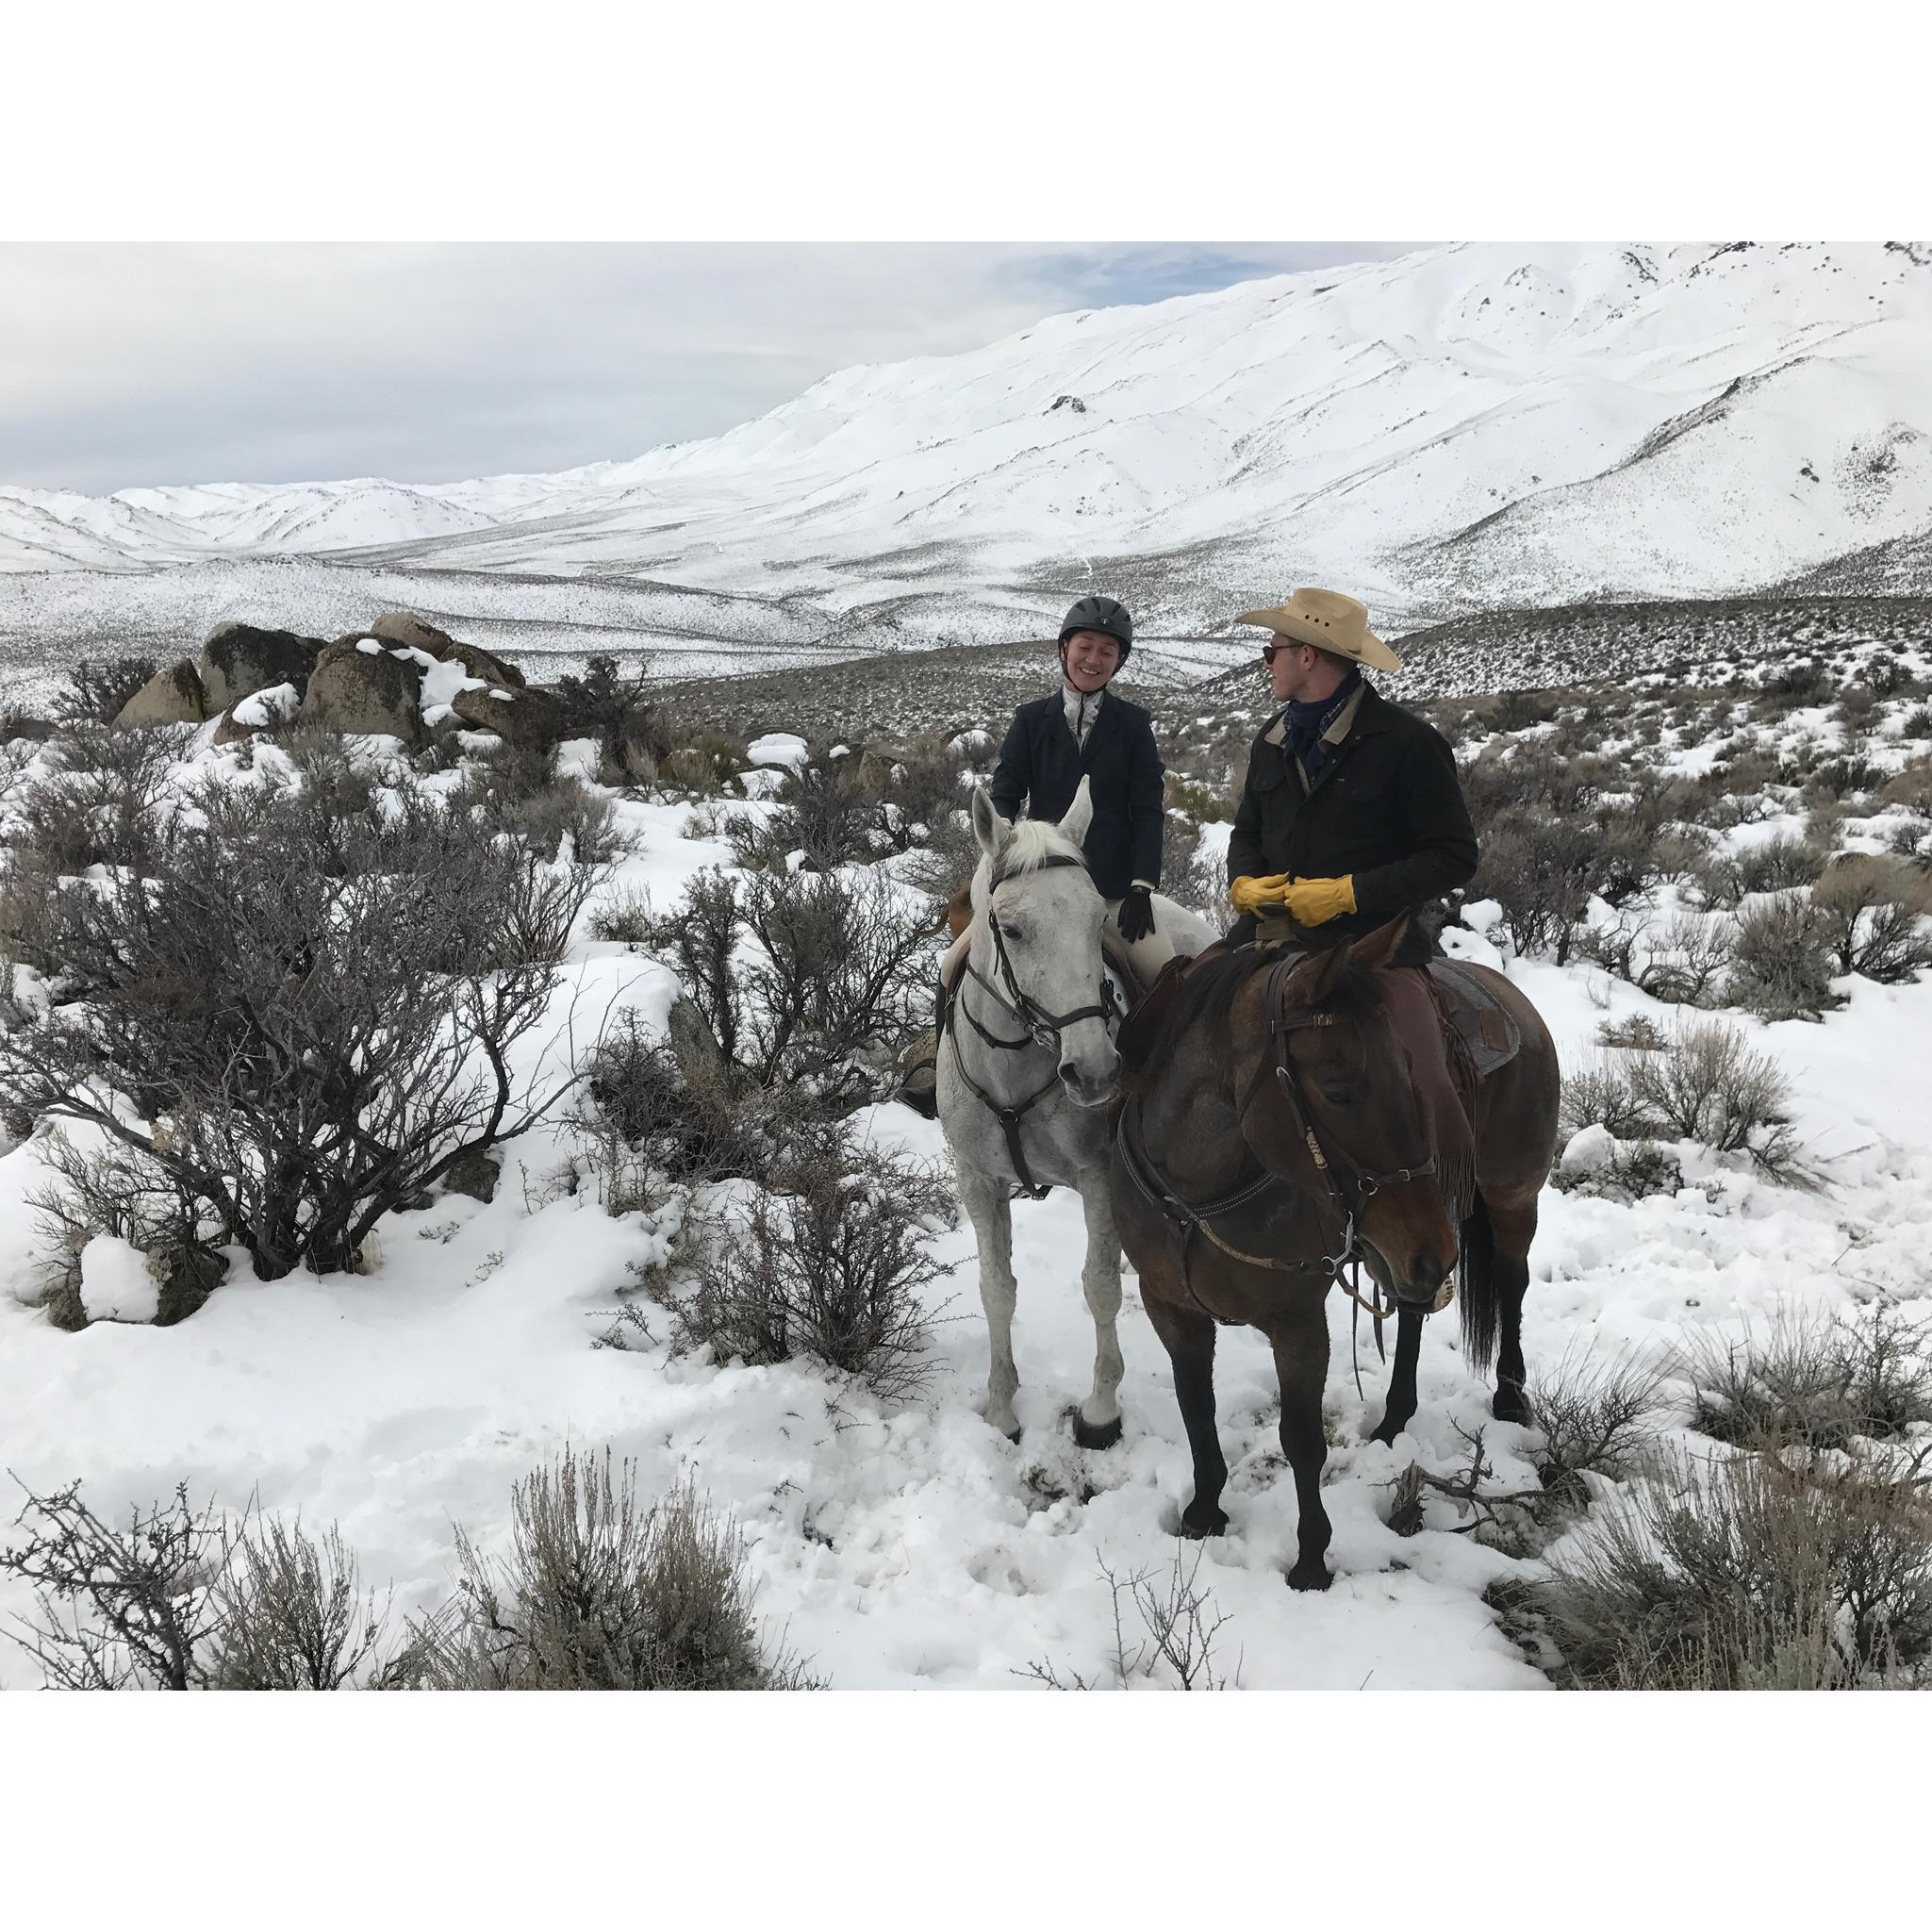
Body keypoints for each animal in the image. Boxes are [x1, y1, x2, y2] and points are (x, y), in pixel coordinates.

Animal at [934, 776, 1205, 1445]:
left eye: (1094, 919)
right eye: (1011, 929)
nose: (1095, 1071)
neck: (1014, 1066)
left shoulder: (1097, 1175)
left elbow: (1100, 1286)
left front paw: (1101, 1410)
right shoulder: (978, 1180)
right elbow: (997, 1289)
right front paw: (1002, 1410)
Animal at [1113, 916, 1560, 1584]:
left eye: (1413, 1075)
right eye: (1338, 1089)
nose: (1437, 1248)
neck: (1196, 1194)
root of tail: (1514, 1000)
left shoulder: (1297, 1322)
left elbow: (1301, 1438)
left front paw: (1310, 1562)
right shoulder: (1171, 1307)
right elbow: (1196, 1405)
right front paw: (1204, 1510)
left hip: (1503, 1200)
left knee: (1510, 1281)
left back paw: (1508, 1396)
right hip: (1397, 1252)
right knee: (1411, 1310)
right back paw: (1394, 1417)